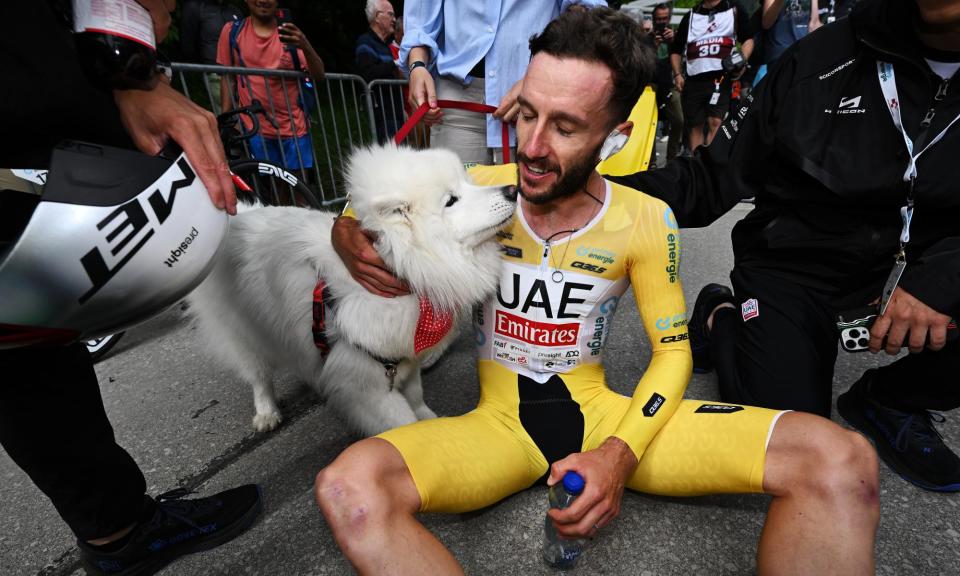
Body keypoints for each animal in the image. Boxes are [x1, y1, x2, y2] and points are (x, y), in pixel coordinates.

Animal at [188, 145, 516, 436]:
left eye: (468, 182)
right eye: (451, 200)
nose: (512, 190)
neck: (404, 273)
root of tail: (239, 216)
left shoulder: (405, 360)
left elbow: (417, 398)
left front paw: (430, 422)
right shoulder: (367, 387)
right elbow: (403, 422)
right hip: (244, 331)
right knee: (258, 375)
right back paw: (266, 413)